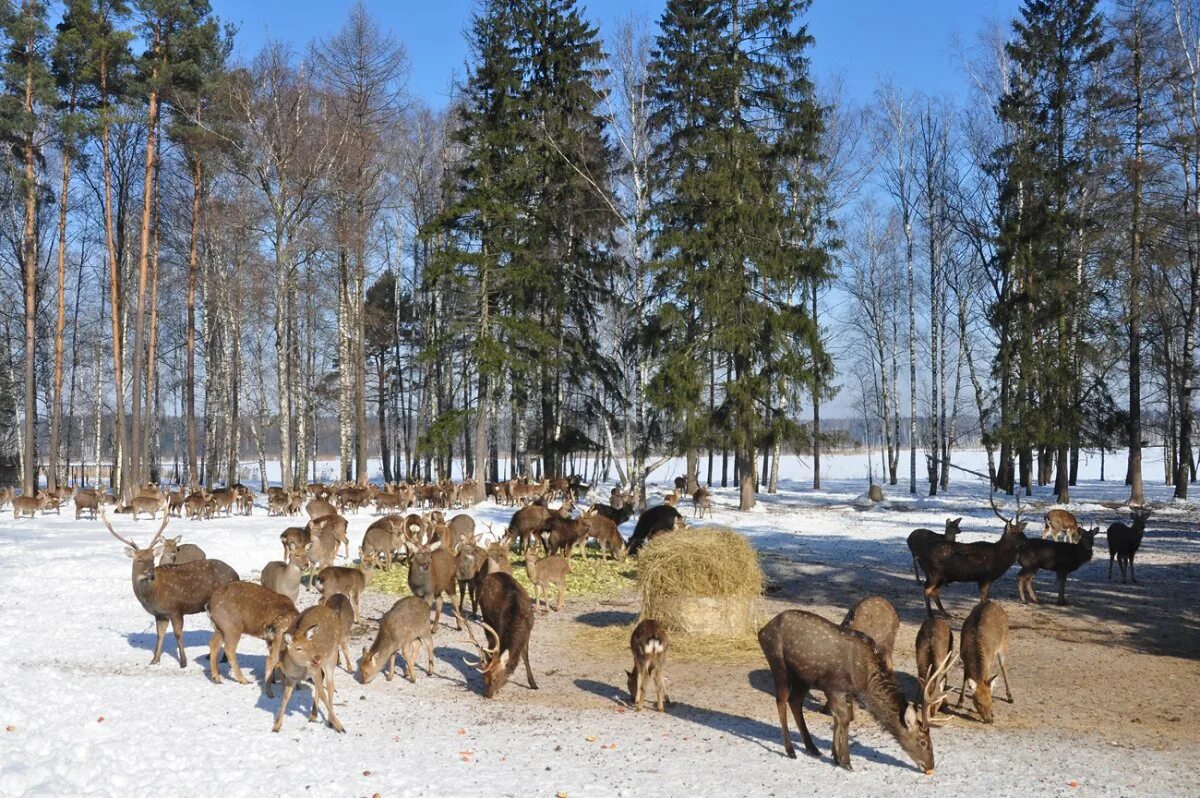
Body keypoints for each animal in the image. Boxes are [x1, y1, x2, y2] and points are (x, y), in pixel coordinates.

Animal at [101, 511, 238, 667]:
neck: (153, 594)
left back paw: (222, 659)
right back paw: (213, 657)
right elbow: (160, 634)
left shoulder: (176, 608)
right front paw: (154, 660)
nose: (150, 573)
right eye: (139, 560)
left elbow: (178, 634)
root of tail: (236, 575)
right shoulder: (160, 614)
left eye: (152, 559)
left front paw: (183, 662)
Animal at [267, 604, 348, 734]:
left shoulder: (315, 671)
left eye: (311, 645)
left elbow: (324, 695)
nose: (316, 658)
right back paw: (313, 716)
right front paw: (276, 726)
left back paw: (329, 721)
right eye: (298, 648)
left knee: (330, 685)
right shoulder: (291, 677)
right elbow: (285, 697)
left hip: (332, 657)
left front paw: (340, 727)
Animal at [758, 609, 955, 772]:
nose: (931, 765)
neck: (864, 681)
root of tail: (762, 631)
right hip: (778, 662)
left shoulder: (845, 692)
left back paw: (812, 748)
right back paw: (790, 750)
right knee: (781, 700)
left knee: (795, 701)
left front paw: (835, 756)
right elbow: (844, 718)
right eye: (923, 742)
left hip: (803, 676)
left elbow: (839, 718)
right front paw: (846, 761)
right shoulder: (833, 686)